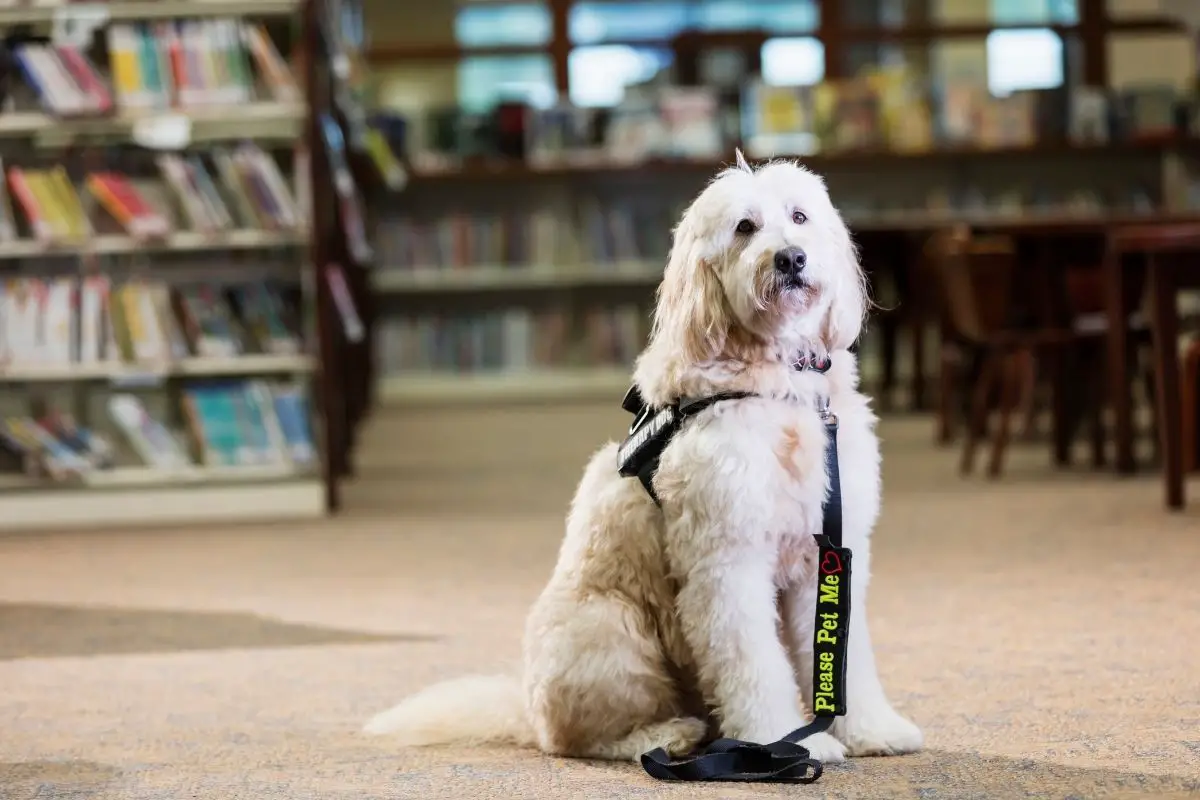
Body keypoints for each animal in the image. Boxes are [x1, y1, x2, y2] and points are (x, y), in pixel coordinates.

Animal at [360, 154, 921, 762]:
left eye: (799, 216)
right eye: (745, 227)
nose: (791, 258)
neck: (777, 383)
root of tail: (528, 712)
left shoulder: (827, 554)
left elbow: (843, 657)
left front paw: (870, 730)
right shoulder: (727, 561)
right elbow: (753, 664)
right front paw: (782, 744)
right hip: (612, 631)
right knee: (582, 739)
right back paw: (668, 735)